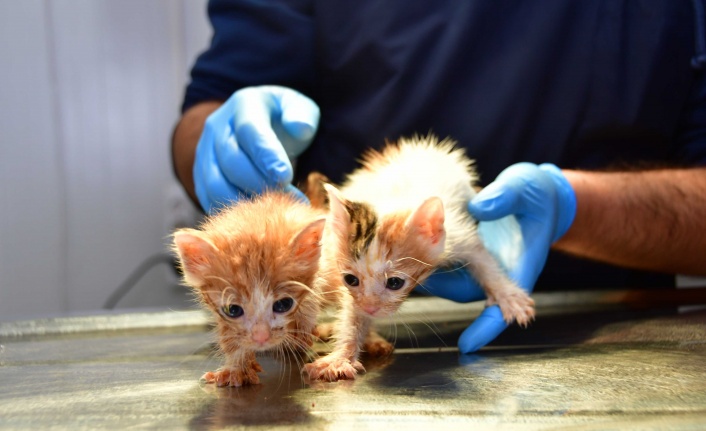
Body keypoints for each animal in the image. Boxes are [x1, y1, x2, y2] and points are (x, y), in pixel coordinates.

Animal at [172, 192, 326, 388]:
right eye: (233, 310)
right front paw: (236, 368)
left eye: (284, 304)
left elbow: (312, 298)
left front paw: (301, 330)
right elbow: (231, 336)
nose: (261, 338)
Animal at [304, 135, 532, 382]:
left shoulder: (457, 233)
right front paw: (341, 357)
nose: (371, 309)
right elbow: (352, 312)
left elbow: (482, 258)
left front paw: (508, 296)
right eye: (351, 280)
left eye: (395, 283)